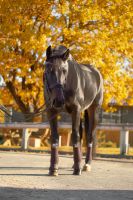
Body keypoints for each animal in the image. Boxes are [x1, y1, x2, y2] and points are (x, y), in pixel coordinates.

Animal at [43, 45, 104, 175]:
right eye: (48, 70)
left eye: (64, 71)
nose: (59, 100)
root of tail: (96, 73)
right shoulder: (51, 111)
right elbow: (55, 137)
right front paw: (53, 168)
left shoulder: (76, 110)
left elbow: (75, 136)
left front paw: (77, 168)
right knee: (81, 136)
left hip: (93, 110)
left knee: (89, 136)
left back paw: (86, 164)